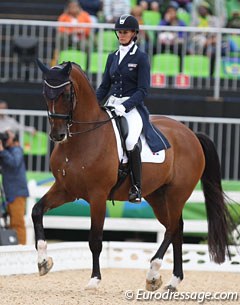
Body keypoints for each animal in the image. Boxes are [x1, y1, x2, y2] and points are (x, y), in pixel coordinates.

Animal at [32, 59, 233, 290]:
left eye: (66, 94)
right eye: (45, 93)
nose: (58, 134)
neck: (81, 140)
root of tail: (191, 134)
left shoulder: (97, 195)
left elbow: (95, 239)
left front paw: (94, 279)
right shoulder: (66, 190)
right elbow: (36, 211)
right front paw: (43, 262)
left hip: (177, 194)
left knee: (172, 228)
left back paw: (153, 273)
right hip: (157, 196)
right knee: (176, 229)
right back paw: (172, 281)